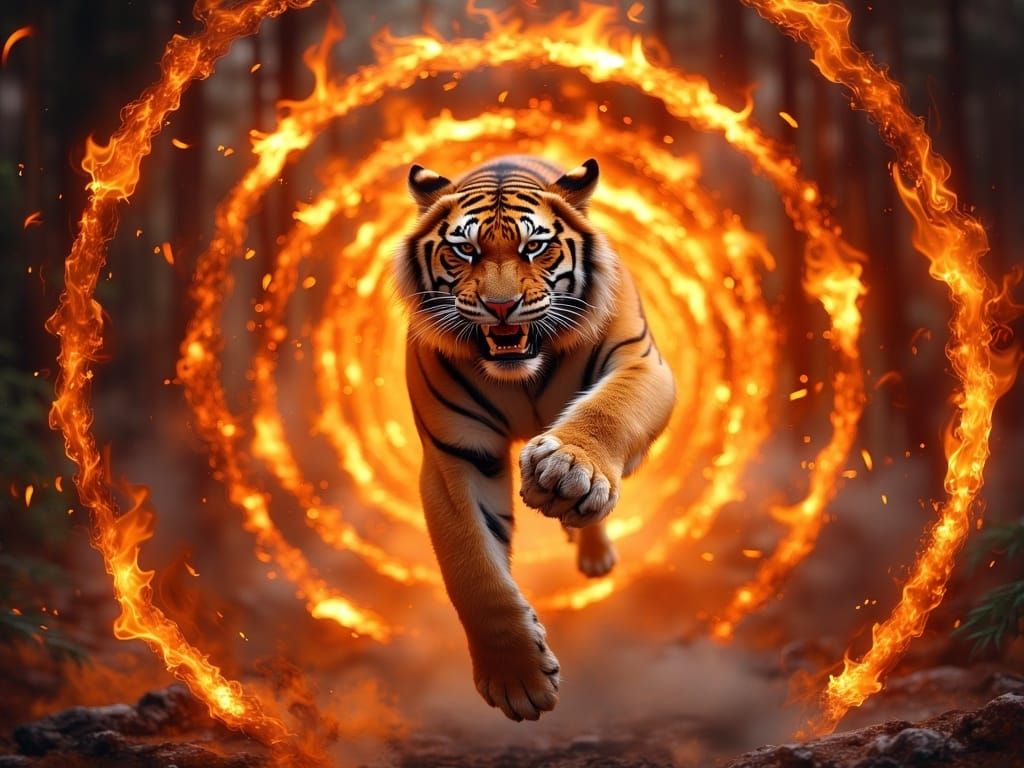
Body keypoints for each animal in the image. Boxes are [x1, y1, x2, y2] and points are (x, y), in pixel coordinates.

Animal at [395, 155, 675, 721]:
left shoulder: (642, 364)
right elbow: (472, 568)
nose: (501, 307)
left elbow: (610, 411)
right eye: (465, 250)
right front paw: (518, 679)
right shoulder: (456, 455)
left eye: (534, 247)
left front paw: (569, 471)